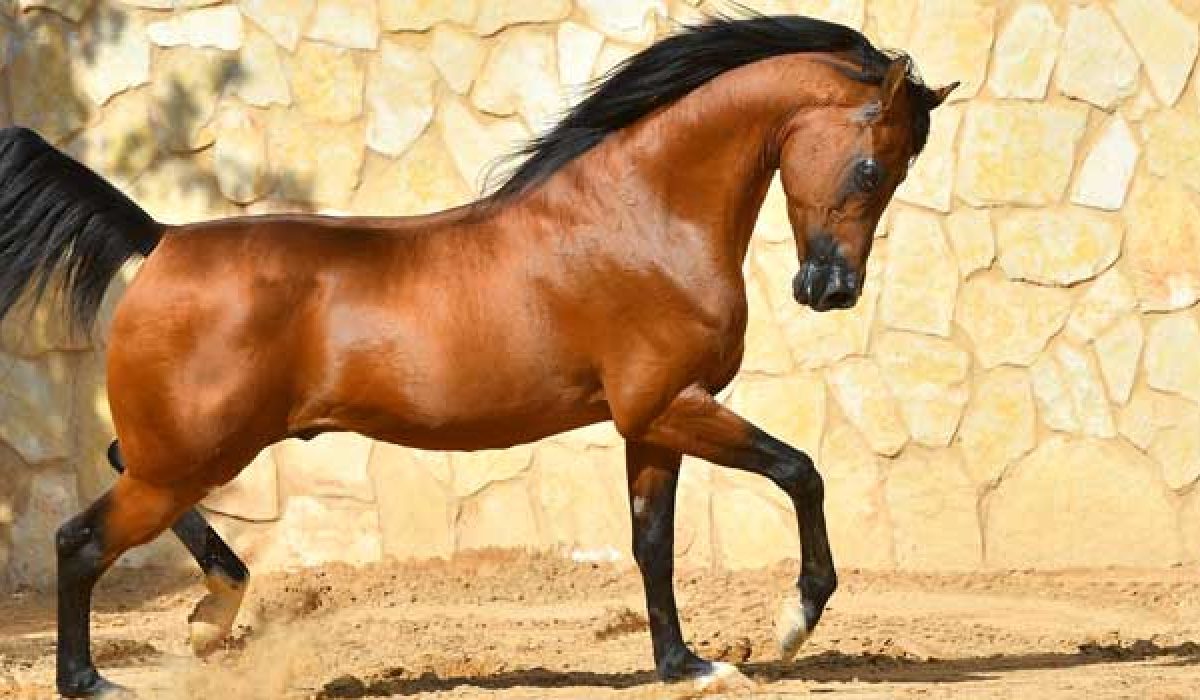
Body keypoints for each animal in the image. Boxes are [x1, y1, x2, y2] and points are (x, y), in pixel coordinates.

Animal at [0, 14, 955, 697]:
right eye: (872, 168)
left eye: (902, 171)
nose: (829, 290)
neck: (642, 216)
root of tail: (159, 237)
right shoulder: (673, 404)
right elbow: (801, 472)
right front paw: (793, 623)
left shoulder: (650, 422)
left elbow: (652, 543)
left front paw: (685, 666)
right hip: (192, 453)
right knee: (78, 538)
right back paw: (94, 680)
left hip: (186, 449)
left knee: (117, 478)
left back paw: (213, 612)